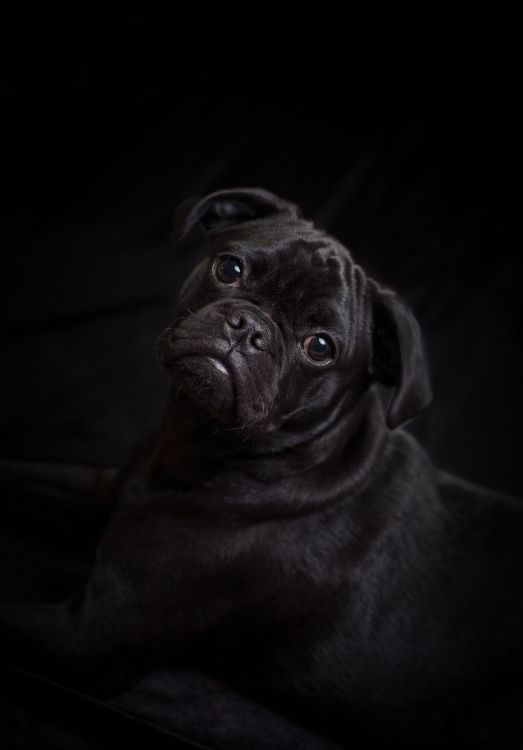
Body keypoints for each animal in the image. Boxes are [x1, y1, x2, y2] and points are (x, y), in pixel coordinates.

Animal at [1, 188, 523, 748]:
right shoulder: (101, 493)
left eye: (320, 347)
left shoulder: (89, 639)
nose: (249, 328)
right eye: (230, 268)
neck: (195, 448)